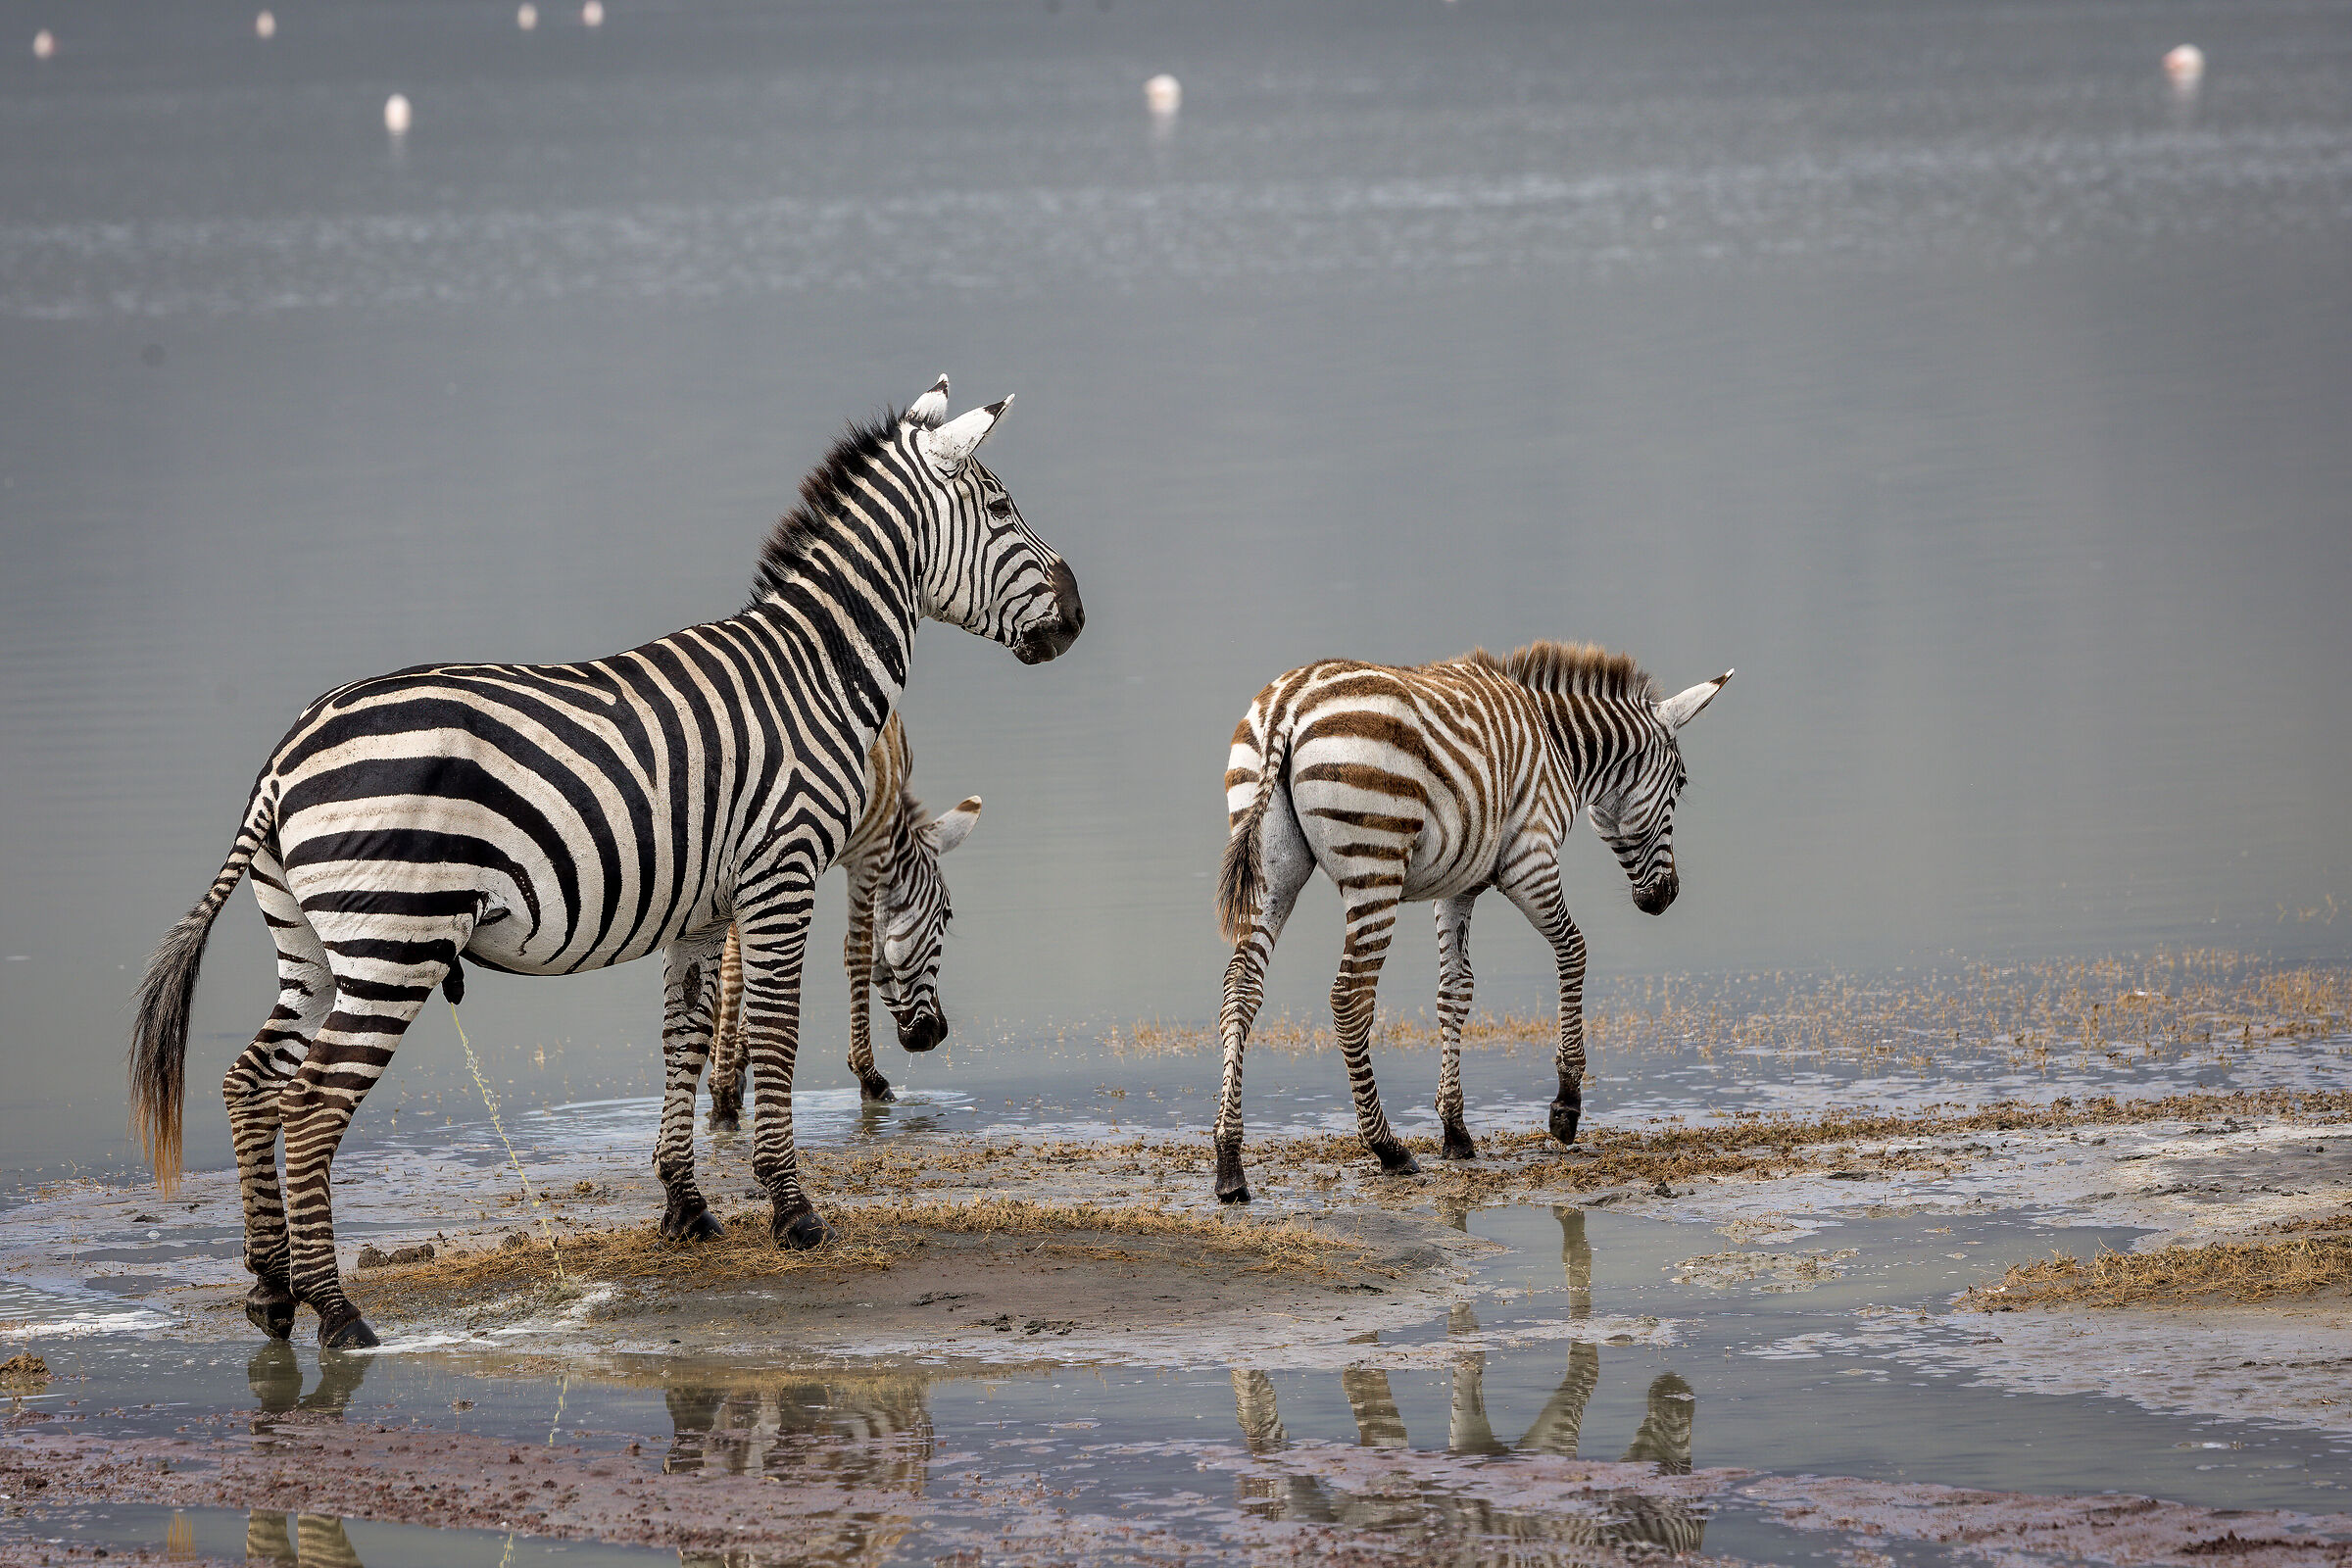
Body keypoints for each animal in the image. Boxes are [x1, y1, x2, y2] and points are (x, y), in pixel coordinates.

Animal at [705, 710, 980, 1128]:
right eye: (945, 916)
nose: (938, 1033)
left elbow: (743, 962)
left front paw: (732, 1072)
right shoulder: (868, 851)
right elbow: (859, 953)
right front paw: (871, 1079)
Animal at [1211, 643, 1730, 1203]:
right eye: (1679, 785)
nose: (1665, 897)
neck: (1559, 746)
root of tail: (1290, 701)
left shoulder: (1458, 886)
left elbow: (1455, 992)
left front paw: (1455, 1130)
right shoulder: (1531, 860)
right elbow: (1574, 951)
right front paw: (1566, 1107)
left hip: (1273, 870)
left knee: (1242, 988)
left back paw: (1229, 1163)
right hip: (1375, 870)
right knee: (1350, 998)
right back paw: (1387, 1148)